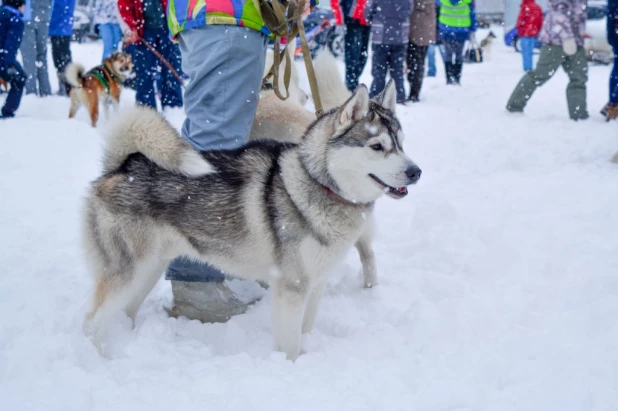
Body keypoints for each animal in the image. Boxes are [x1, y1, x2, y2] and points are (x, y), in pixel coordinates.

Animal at [82, 81, 418, 360]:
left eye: (402, 143)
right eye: (377, 146)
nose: (416, 172)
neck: (320, 184)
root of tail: (122, 166)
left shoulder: (316, 283)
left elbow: (306, 329)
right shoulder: (291, 288)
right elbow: (290, 344)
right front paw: (291, 368)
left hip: (149, 270)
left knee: (124, 313)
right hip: (128, 272)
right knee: (92, 322)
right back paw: (100, 360)